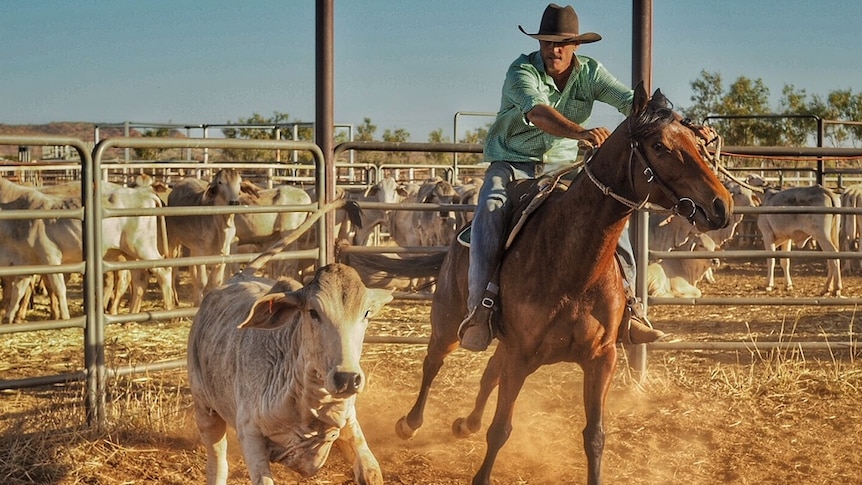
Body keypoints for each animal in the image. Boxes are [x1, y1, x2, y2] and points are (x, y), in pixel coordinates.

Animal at [190, 260, 394, 484]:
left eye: (366, 313)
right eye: (313, 312)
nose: (347, 379)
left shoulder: (348, 422)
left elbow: (371, 470)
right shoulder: (249, 433)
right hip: (205, 409)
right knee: (217, 463)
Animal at [394, 83, 732, 484]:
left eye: (697, 143)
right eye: (660, 146)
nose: (722, 205)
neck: (574, 270)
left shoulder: (602, 358)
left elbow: (595, 437)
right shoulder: (521, 356)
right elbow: (501, 429)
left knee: (489, 372)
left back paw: (467, 423)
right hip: (449, 317)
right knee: (433, 362)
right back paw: (410, 423)